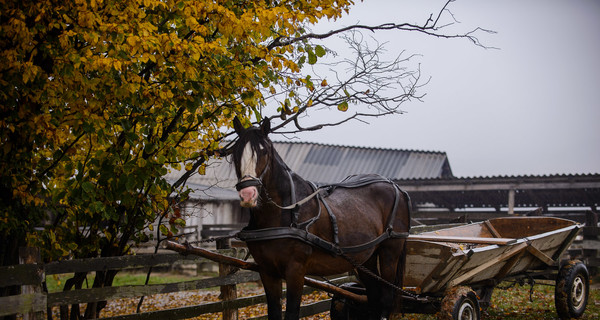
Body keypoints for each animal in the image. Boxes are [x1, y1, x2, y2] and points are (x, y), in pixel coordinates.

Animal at [231, 118, 412, 320]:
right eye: (236, 151)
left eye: (264, 151)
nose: (248, 194)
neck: (286, 213)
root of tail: (397, 187)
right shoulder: (267, 271)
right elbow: (274, 312)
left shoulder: (296, 271)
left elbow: (292, 312)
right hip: (366, 257)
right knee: (374, 296)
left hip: (390, 251)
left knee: (386, 298)